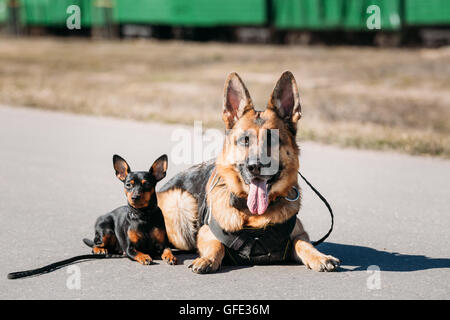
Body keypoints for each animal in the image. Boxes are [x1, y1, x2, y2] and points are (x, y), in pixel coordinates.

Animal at [157, 71, 338, 274]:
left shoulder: (300, 234)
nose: (255, 166)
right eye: (245, 140)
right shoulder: (205, 232)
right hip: (180, 204)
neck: (254, 217)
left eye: (272, 139)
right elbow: (216, 245)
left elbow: (304, 244)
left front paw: (320, 257)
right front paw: (207, 259)